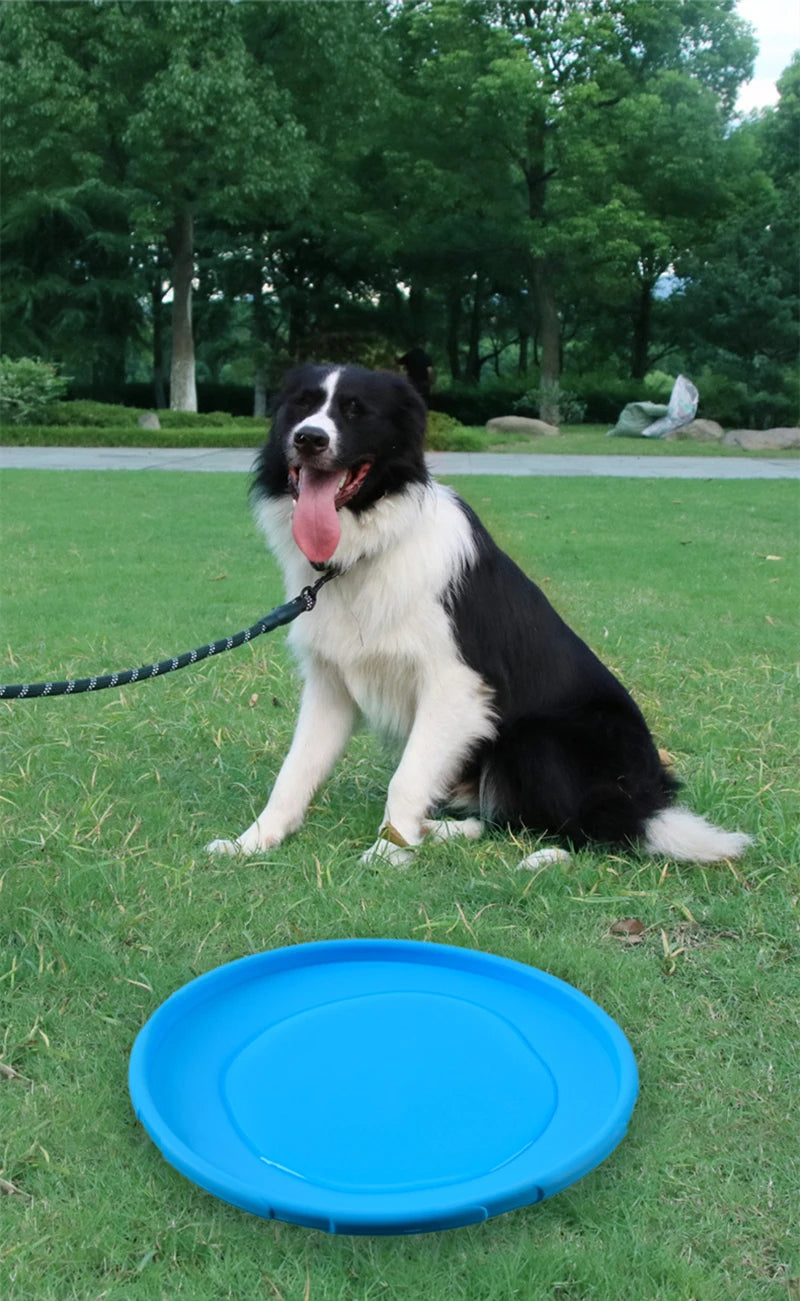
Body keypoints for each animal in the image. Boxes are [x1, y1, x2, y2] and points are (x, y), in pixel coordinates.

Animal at [208, 361, 749, 863]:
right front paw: (253, 841)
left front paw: (389, 852)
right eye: (301, 405)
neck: (366, 550)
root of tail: (648, 798)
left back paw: (541, 856)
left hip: (540, 739)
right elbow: (295, 769)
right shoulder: (331, 684)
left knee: (590, 826)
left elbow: (406, 778)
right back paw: (442, 830)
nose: (309, 438)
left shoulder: (457, 685)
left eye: (355, 410)